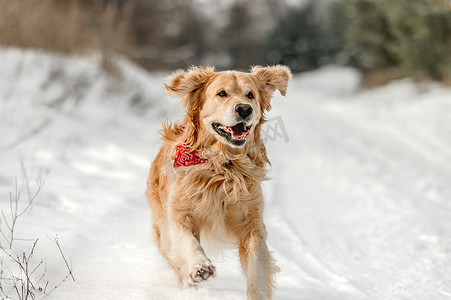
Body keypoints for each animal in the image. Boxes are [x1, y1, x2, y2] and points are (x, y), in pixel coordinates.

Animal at [147, 64, 292, 298]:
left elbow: (257, 269)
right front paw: (201, 267)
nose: (244, 109)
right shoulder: (178, 215)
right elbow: (189, 242)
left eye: (250, 95)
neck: (222, 167)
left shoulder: (252, 224)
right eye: (222, 93)